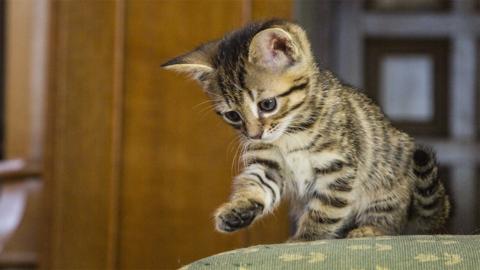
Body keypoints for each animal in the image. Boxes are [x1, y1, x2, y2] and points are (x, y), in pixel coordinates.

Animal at [162, 19, 450, 240]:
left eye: (267, 105)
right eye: (233, 116)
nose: (254, 135)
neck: (290, 133)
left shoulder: (339, 168)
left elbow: (326, 210)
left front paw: (305, 240)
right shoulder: (268, 165)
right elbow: (256, 186)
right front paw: (237, 211)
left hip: (388, 183)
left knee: (393, 222)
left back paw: (369, 230)